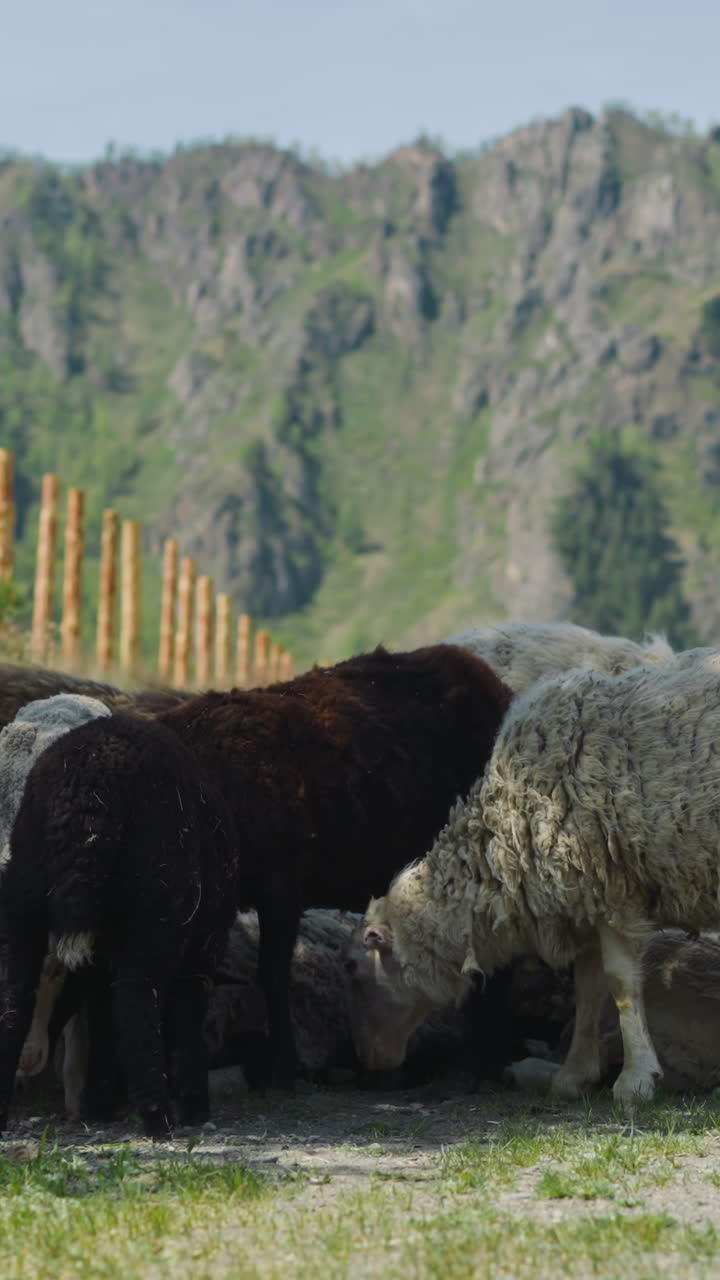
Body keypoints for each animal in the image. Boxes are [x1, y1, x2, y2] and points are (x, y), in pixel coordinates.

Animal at [0, 712, 239, 1138]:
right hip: (157, 903)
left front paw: (99, 1101)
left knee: (15, 998)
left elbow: (99, 1014)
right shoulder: (202, 947)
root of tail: (84, 790)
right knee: (136, 997)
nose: (32, 1062)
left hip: (25, 890)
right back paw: (157, 1117)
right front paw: (194, 1105)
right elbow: (187, 1011)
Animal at [348, 661, 720, 1111]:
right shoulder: (586, 900)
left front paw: (635, 1081)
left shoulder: (614, 890)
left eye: (353, 971)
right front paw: (574, 1076)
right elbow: (589, 989)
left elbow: (620, 984)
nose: (366, 1064)